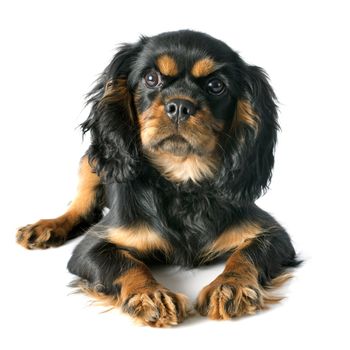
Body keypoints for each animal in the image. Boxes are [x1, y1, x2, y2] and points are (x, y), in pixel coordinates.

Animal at [16, 30, 300, 328]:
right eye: (151, 78)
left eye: (216, 86)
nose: (180, 106)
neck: (182, 182)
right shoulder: (89, 249)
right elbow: (127, 264)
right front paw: (150, 295)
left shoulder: (273, 234)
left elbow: (246, 255)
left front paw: (230, 286)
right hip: (89, 164)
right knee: (81, 207)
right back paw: (45, 228)